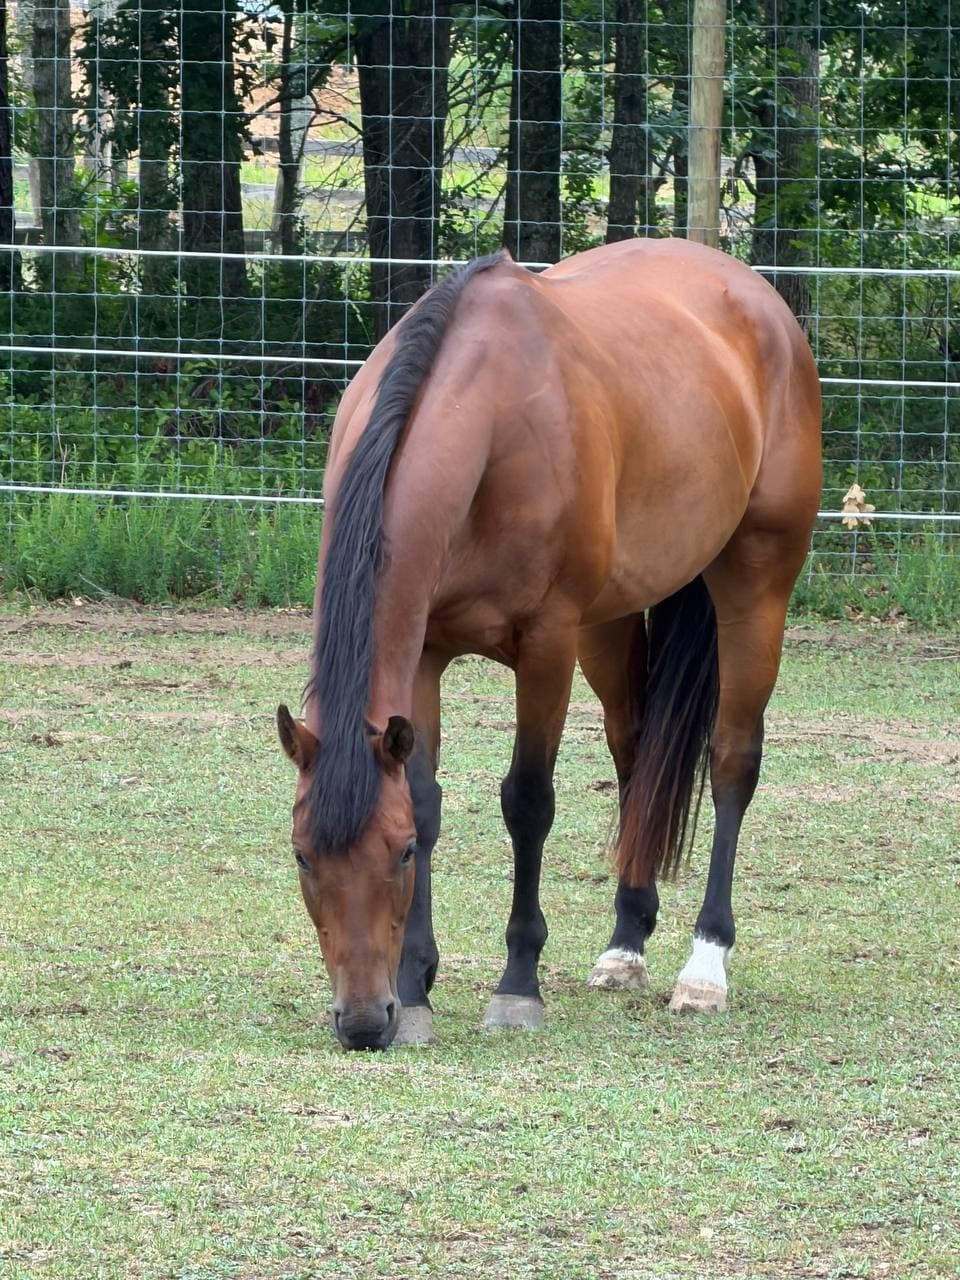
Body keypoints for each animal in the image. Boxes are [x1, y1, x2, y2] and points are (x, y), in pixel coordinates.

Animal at [277, 237, 822, 1051]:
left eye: (396, 855)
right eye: (303, 855)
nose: (365, 1021)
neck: (486, 418)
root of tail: (757, 298)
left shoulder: (546, 645)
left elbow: (527, 801)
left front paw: (516, 985)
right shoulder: (425, 652)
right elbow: (429, 797)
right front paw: (419, 986)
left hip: (753, 583)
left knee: (732, 760)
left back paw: (704, 966)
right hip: (611, 621)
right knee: (636, 752)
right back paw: (626, 944)